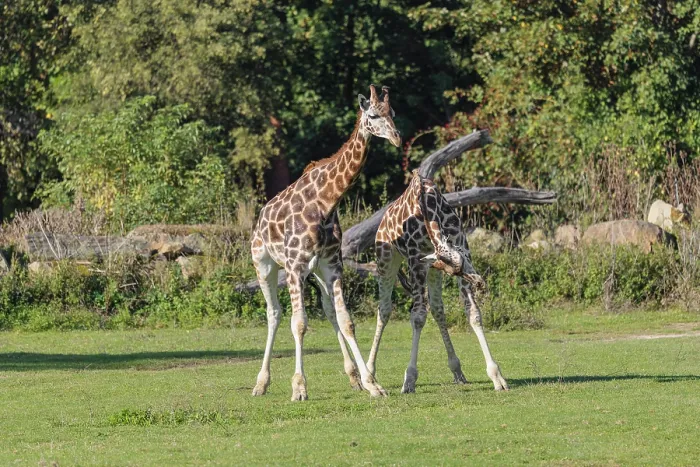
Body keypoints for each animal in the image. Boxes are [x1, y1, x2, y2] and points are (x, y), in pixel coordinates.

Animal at [250, 84, 401, 401]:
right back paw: (261, 383)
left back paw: (353, 376)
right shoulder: (294, 266)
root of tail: (260, 217)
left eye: (392, 112)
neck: (326, 201)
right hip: (264, 264)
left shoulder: (332, 266)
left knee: (328, 310)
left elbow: (346, 321)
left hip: (316, 271)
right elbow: (299, 324)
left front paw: (372, 383)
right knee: (274, 313)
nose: (396, 138)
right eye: (372, 115)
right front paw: (299, 387)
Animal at [367, 170, 509, 393]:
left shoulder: (459, 244)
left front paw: (497, 377)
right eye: (457, 270)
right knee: (384, 309)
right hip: (386, 260)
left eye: (463, 265)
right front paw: (409, 379)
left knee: (437, 308)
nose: (479, 282)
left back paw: (457, 371)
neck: (429, 205)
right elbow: (417, 317)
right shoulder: (415, 258)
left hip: (430, 270)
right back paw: (369, 374)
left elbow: (473, 312)